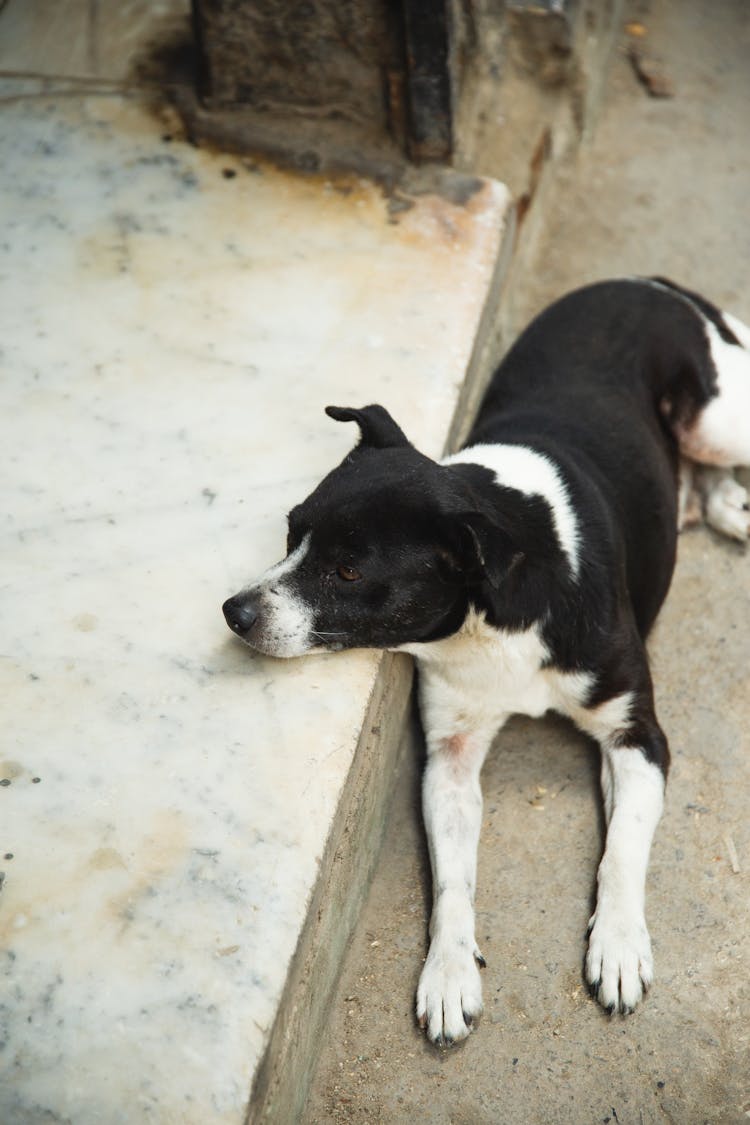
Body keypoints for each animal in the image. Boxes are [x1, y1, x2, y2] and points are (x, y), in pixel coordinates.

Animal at [221, 279, 750, 1044]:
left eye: (348, 572)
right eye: (292, 532)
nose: (234, 612)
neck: (493, 618)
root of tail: (649, 282)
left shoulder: (636, 735)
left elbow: (623, 848)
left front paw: (619, 944)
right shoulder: (450, 755)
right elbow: (452, 881)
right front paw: (448, 972)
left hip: (716, 419)